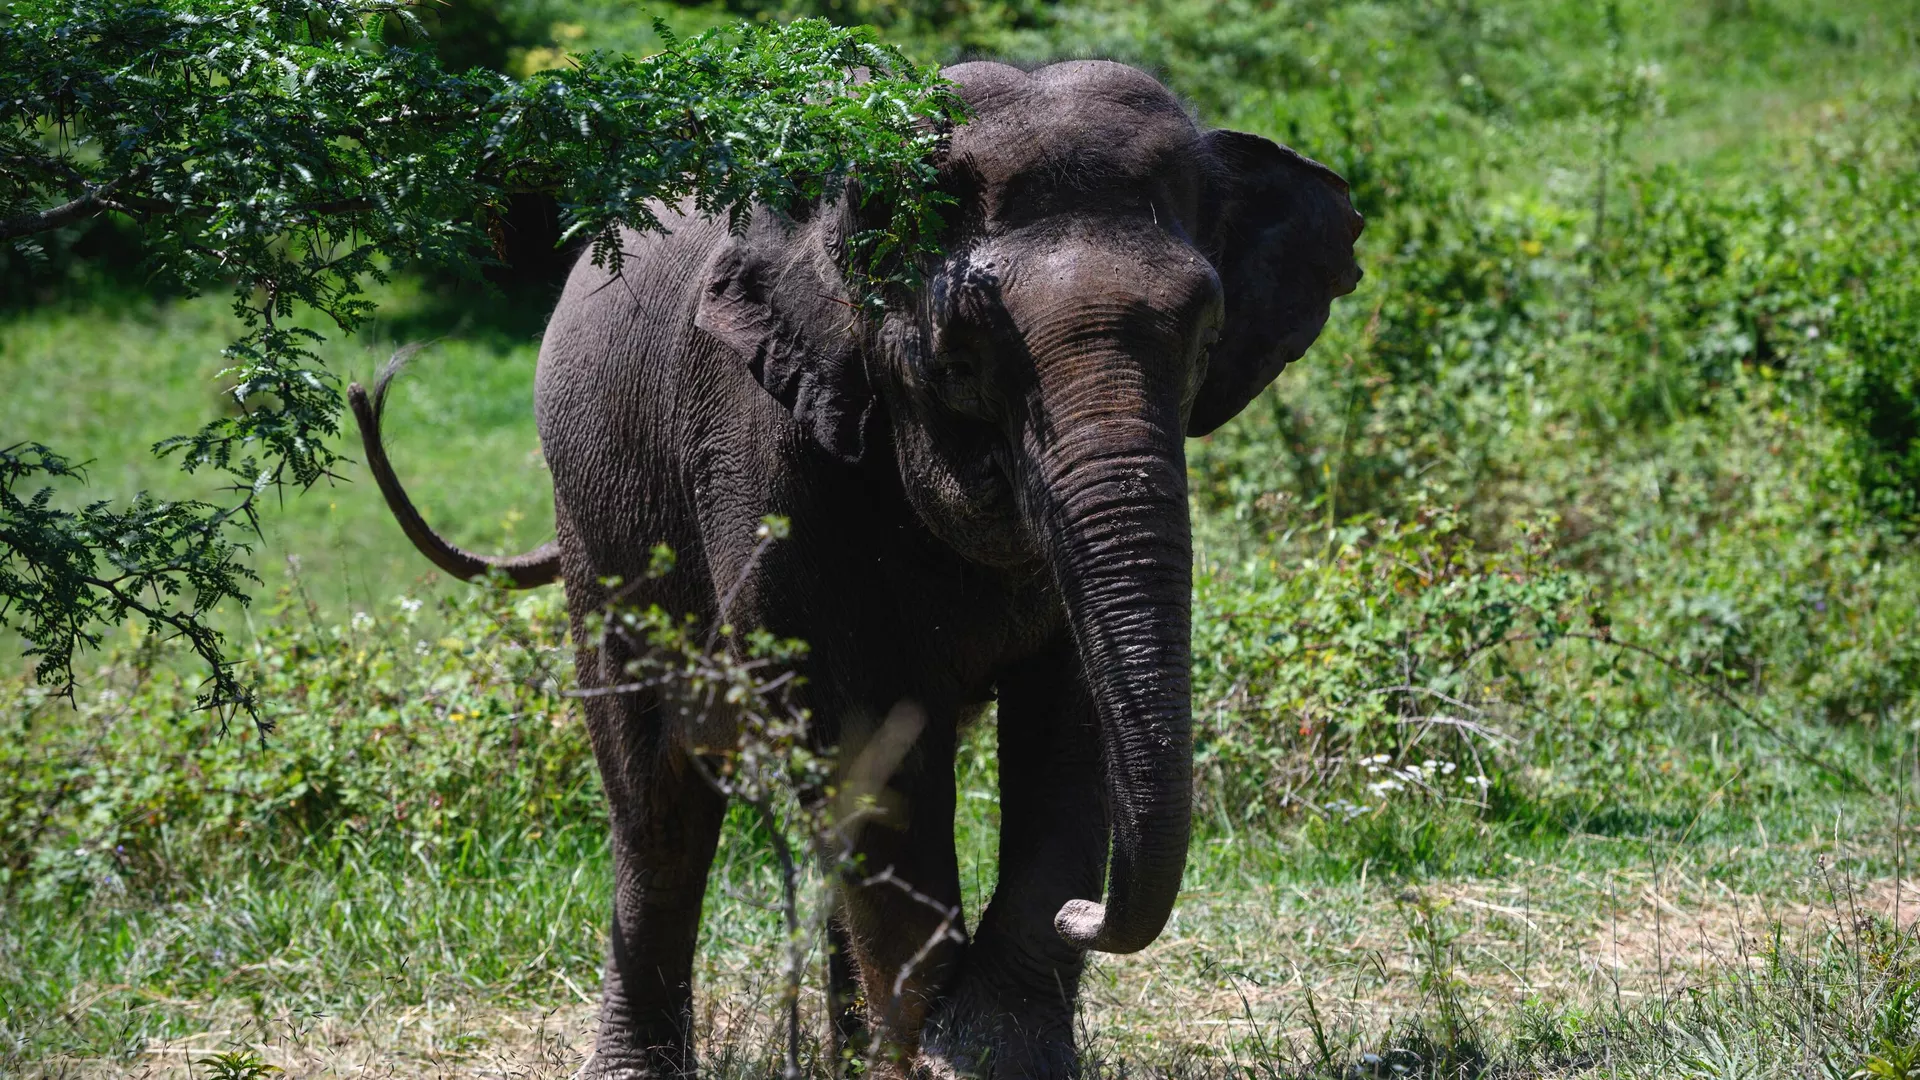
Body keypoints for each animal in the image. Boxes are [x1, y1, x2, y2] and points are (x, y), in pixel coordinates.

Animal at [349, 61, 1367, 1076]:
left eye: (1205, 345)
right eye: (959, 361)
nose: (1089, 915)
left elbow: (1069, 727)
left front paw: (985, 1048)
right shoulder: (766, 437)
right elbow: (867, 735)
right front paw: (946, 1055)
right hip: (598, 517)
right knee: (657, 800)